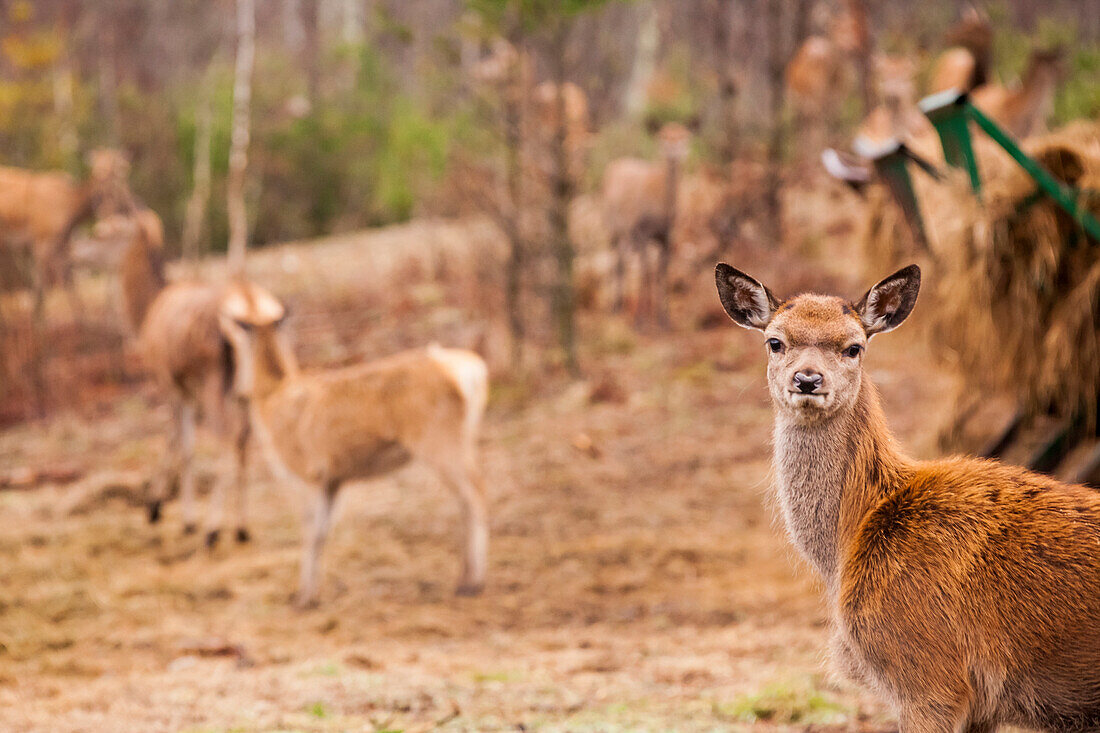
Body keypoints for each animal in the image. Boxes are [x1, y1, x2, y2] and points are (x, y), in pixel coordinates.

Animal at [215, 290, 490, 603]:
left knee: (477, 494)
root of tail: (474, 372)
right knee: (466, 500)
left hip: (440, 439)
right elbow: (323, 531)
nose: (236, 391)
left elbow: (310, 530)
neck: (272, 402)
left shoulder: (307, 470)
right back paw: (463, 579)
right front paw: (313, 592)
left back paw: (474, 583)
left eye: (234, 343)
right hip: (461, 439)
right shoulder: (333, 479)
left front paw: (304, 597)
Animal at [607, 121, 690, 325]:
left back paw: (620, 306)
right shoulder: (642, 233)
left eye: (683, 135)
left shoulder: (666, 236)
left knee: (621, 262)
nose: (674, 150)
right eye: (664, 136)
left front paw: (664, 319)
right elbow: (646, 272)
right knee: (615, 263)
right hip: (612, 230)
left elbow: (662, 271)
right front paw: (641, 319)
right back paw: (614, 308)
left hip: (627, 236)